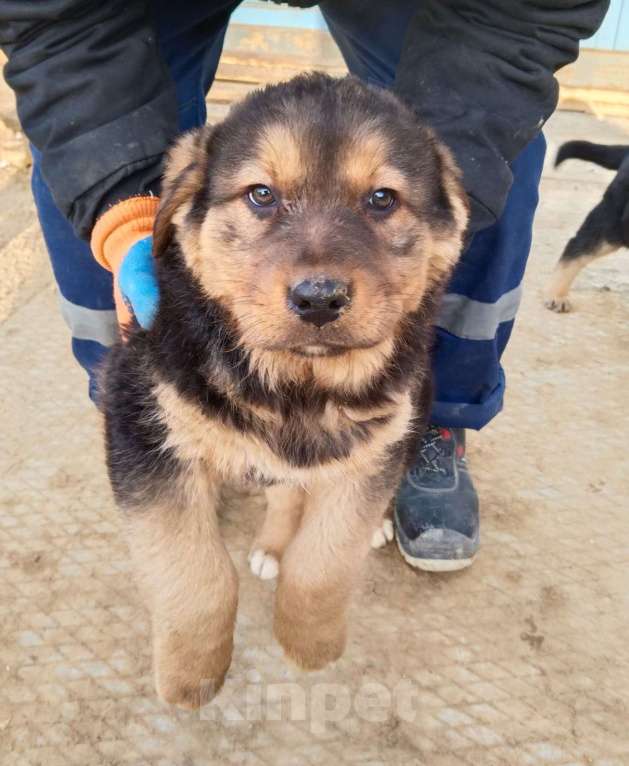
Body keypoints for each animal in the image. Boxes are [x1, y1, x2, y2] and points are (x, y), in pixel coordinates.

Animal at [103, 75, 466, 712]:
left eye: (382, 199)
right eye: (261, 195)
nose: (319, 298)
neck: (296, 383)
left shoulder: (377, 441)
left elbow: (324, 560)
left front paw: (309, 645)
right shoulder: (142, 427)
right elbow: (192, 571)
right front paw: (191, 676)